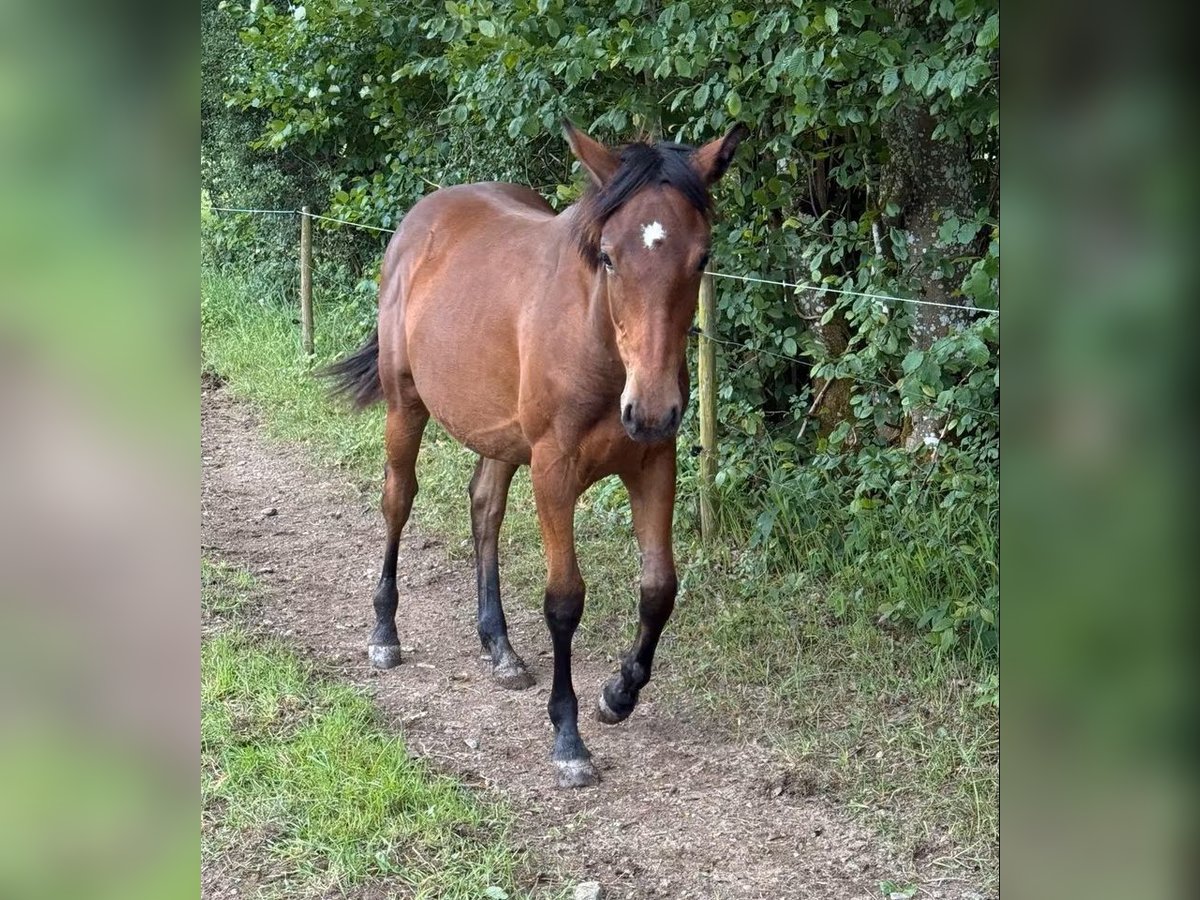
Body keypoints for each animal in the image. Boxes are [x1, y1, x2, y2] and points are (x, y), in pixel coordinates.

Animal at [324, 120, 746, 787]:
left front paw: (618, 694)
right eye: (608, 255)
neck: (596, 344)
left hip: (500, 435)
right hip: (406, 406)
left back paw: (499, 647)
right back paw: (384, 632)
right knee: (397, 502)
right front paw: (568, 738)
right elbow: (565, 600)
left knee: (484, 510)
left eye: (701, 257)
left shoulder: (654, 465)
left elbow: (659, 588)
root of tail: (421, 220)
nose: (652, 410)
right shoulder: (554, 471)